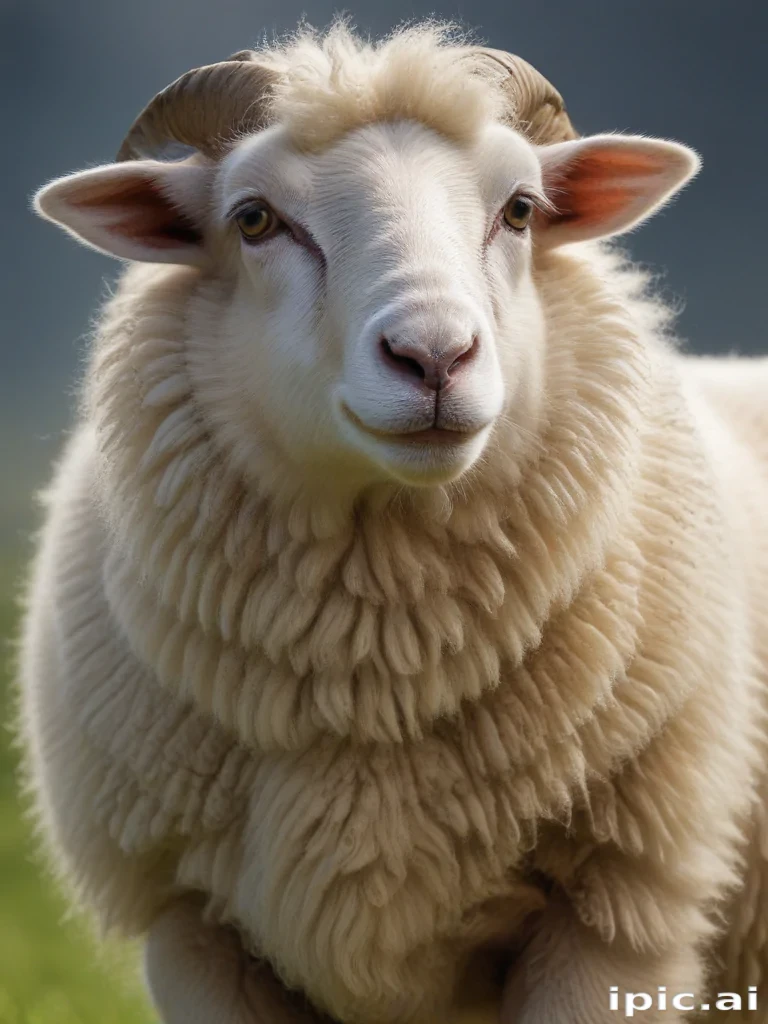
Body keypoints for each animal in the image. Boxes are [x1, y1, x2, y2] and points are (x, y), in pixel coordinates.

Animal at [17, 21, 768, 1024]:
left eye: (520, 210)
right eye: (254, 220)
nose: (434, 356)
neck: (376, 675)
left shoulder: (615, 919)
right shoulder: (195, 931)